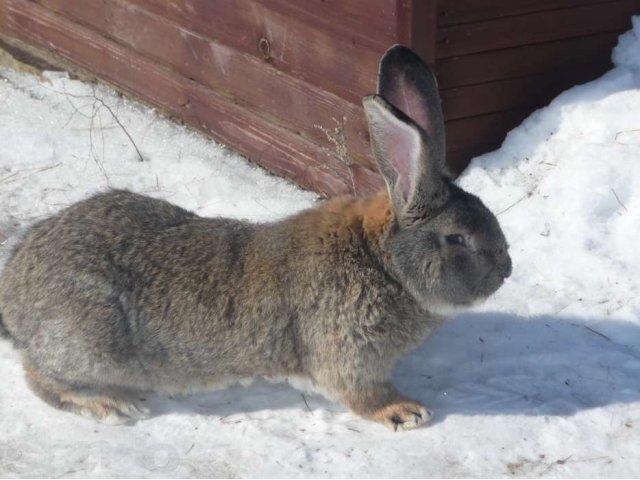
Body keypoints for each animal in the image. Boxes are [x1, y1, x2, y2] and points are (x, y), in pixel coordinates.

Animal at [0, 45, 510, 430]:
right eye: (457, 239)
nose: (505, 270)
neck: (381, 260)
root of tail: (14, 297)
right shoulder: (349, 357)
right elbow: (364, 394)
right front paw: (405, 411)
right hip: (90, 342)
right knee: (40, 376)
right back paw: (109, 405)